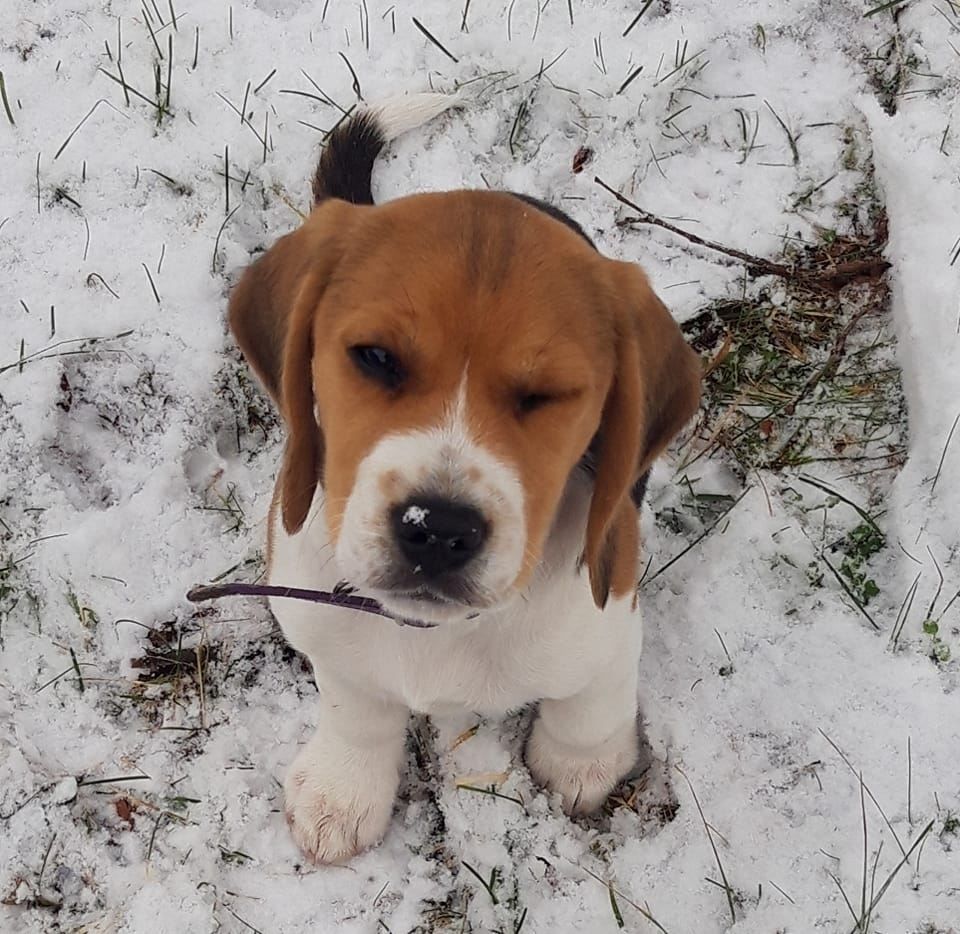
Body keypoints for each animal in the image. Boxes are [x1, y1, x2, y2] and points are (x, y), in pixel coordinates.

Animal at [229, 95, 700, 864]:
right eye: (376, 357)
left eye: (545, 394)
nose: (438, 529)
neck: (437, 632)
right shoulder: (326, 626)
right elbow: (355, 705)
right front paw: (342, 789)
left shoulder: (611, 606)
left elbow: (593, 699)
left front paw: (582, 764)